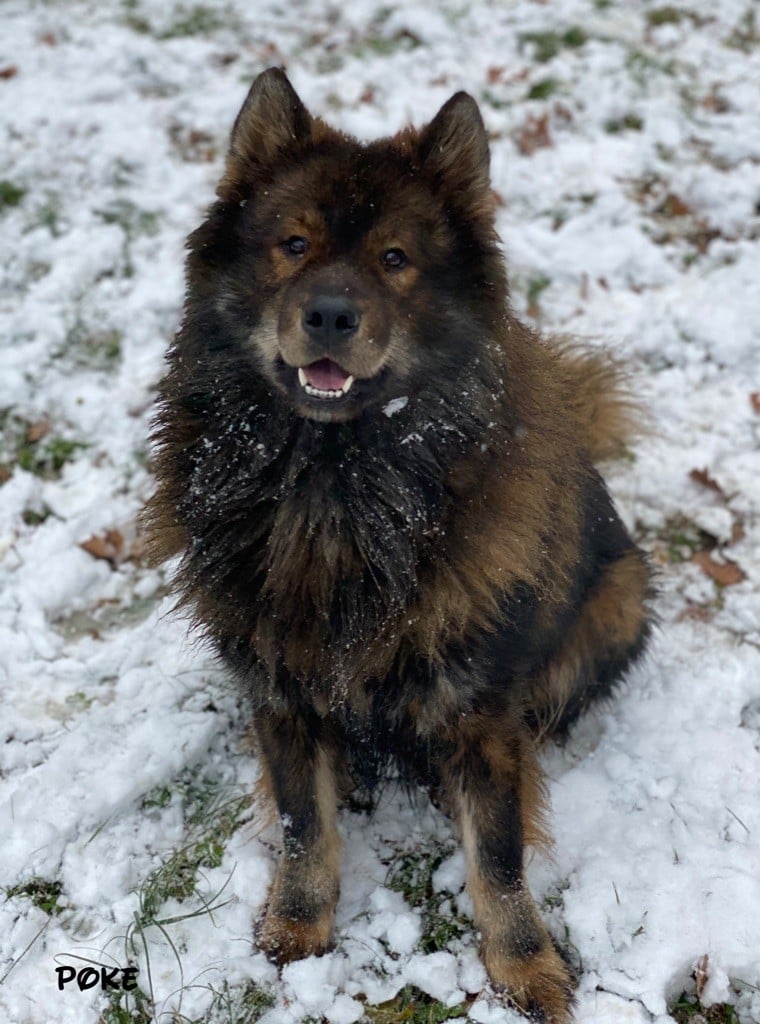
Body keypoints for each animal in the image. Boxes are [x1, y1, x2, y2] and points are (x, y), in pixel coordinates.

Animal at [147, 68, 655, 1019]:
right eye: (294, 243)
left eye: (393, 259)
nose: (330, 314)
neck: (335, 488)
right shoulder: (279, 689)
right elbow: (304, 827)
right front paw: (298, 927)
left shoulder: (479, 711)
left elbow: (498, 856)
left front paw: (524, 967)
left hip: (619, 598)